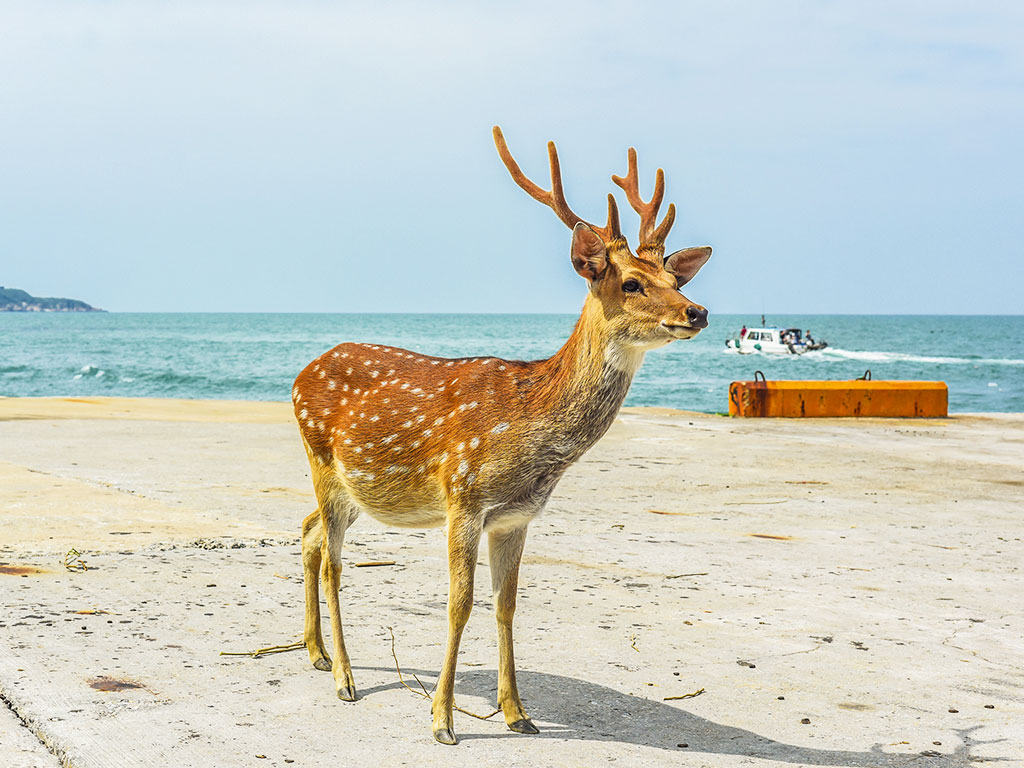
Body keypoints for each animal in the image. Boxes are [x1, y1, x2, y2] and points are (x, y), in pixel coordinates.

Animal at [291, 126, 712, 745]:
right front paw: (442, 720)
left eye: (675, 278)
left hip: (352, 490)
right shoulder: (463, 497)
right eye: (633, 283)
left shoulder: (516, 517)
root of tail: (302, 372)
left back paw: (317, 654)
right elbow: (458, 605)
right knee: (334, 563)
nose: (696, 311)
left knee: (309, 532)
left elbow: (506, 606)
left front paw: (518, 713)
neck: (530, 431)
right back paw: (345, 676)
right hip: (321, 459)